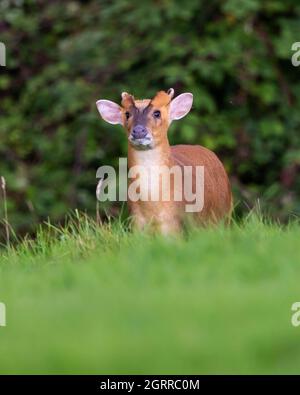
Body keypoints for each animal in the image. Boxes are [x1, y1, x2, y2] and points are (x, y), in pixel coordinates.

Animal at [96, 88, 232, 234]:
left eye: (157, 113)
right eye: (127, 114)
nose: (138, 131)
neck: (152, 207)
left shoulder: (175, 223)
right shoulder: (136, 222)